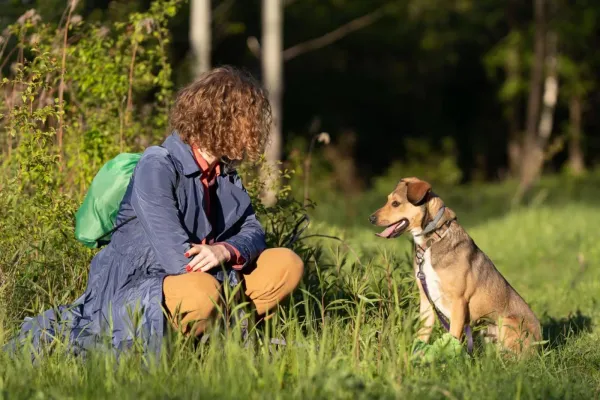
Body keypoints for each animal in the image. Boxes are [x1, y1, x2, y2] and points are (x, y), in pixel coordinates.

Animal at [368, 177, 540, 354]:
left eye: (395, 203)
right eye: (388, 200)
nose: (371, 218)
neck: (432, 240)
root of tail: (540, 344)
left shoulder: (459, 301)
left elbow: (453, 336)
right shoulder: (427, 301)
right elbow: (422, 335)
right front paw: (417, 356)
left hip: (506, 323)